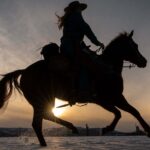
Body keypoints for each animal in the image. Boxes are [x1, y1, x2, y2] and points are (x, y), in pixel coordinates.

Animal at [0, 30, 150, 146]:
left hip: (41, 101)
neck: (107, 68)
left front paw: (146, 130)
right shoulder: (106, 99)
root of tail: (24, 71)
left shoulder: (115, 98)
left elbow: (133, 112)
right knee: (42, 119)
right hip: (42, 99)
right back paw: (67, 130)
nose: (144, 61)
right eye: (134, 46)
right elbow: (120, 113)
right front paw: (106, 129)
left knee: (41, 120)